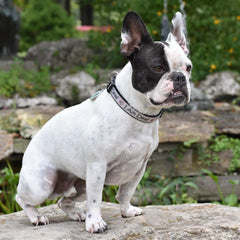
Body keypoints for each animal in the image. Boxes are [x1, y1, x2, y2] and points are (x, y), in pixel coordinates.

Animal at [15, 10, 192, 232]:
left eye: (188, 67)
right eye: (158, 68)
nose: (179, 77)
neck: (136, 112)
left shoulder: (139, 167)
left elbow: (126, 192)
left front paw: (126, 211)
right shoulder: (97, 166)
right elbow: (96, 199)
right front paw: (95, 222)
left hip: (79, 184)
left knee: (63, 201)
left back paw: (76, 214)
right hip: (41, 185)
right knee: (21, 198)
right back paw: (36, 216)